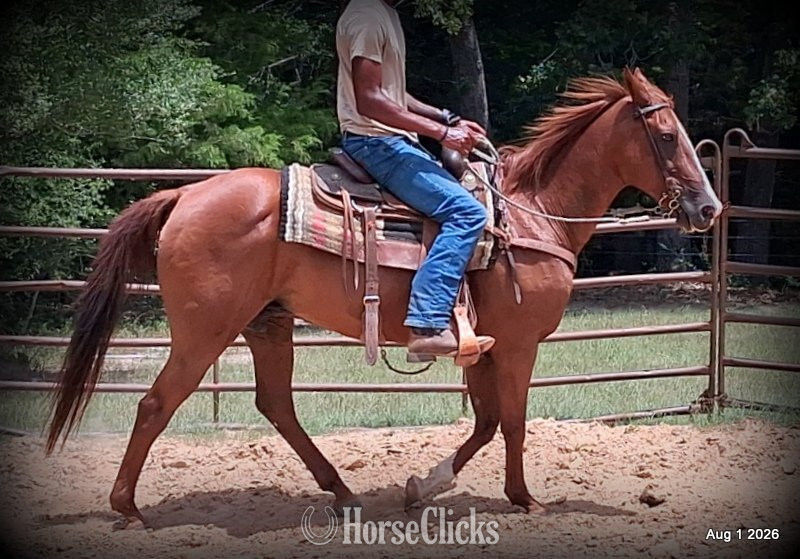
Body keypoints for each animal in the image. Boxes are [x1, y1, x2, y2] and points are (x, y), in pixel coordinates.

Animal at [44, 67, 722, 526]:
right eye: (666, 135)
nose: (708, 209)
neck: (533, 212)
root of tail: (184, 195)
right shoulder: (518, 343)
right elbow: (512, 421)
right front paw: (524, 498)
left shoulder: (483, 345)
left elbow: (485, 421)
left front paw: (423, 487)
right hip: (204, 330)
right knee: (157, 404)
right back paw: (128, 508)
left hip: (267, 324)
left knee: (276, 405)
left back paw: (343, 493)